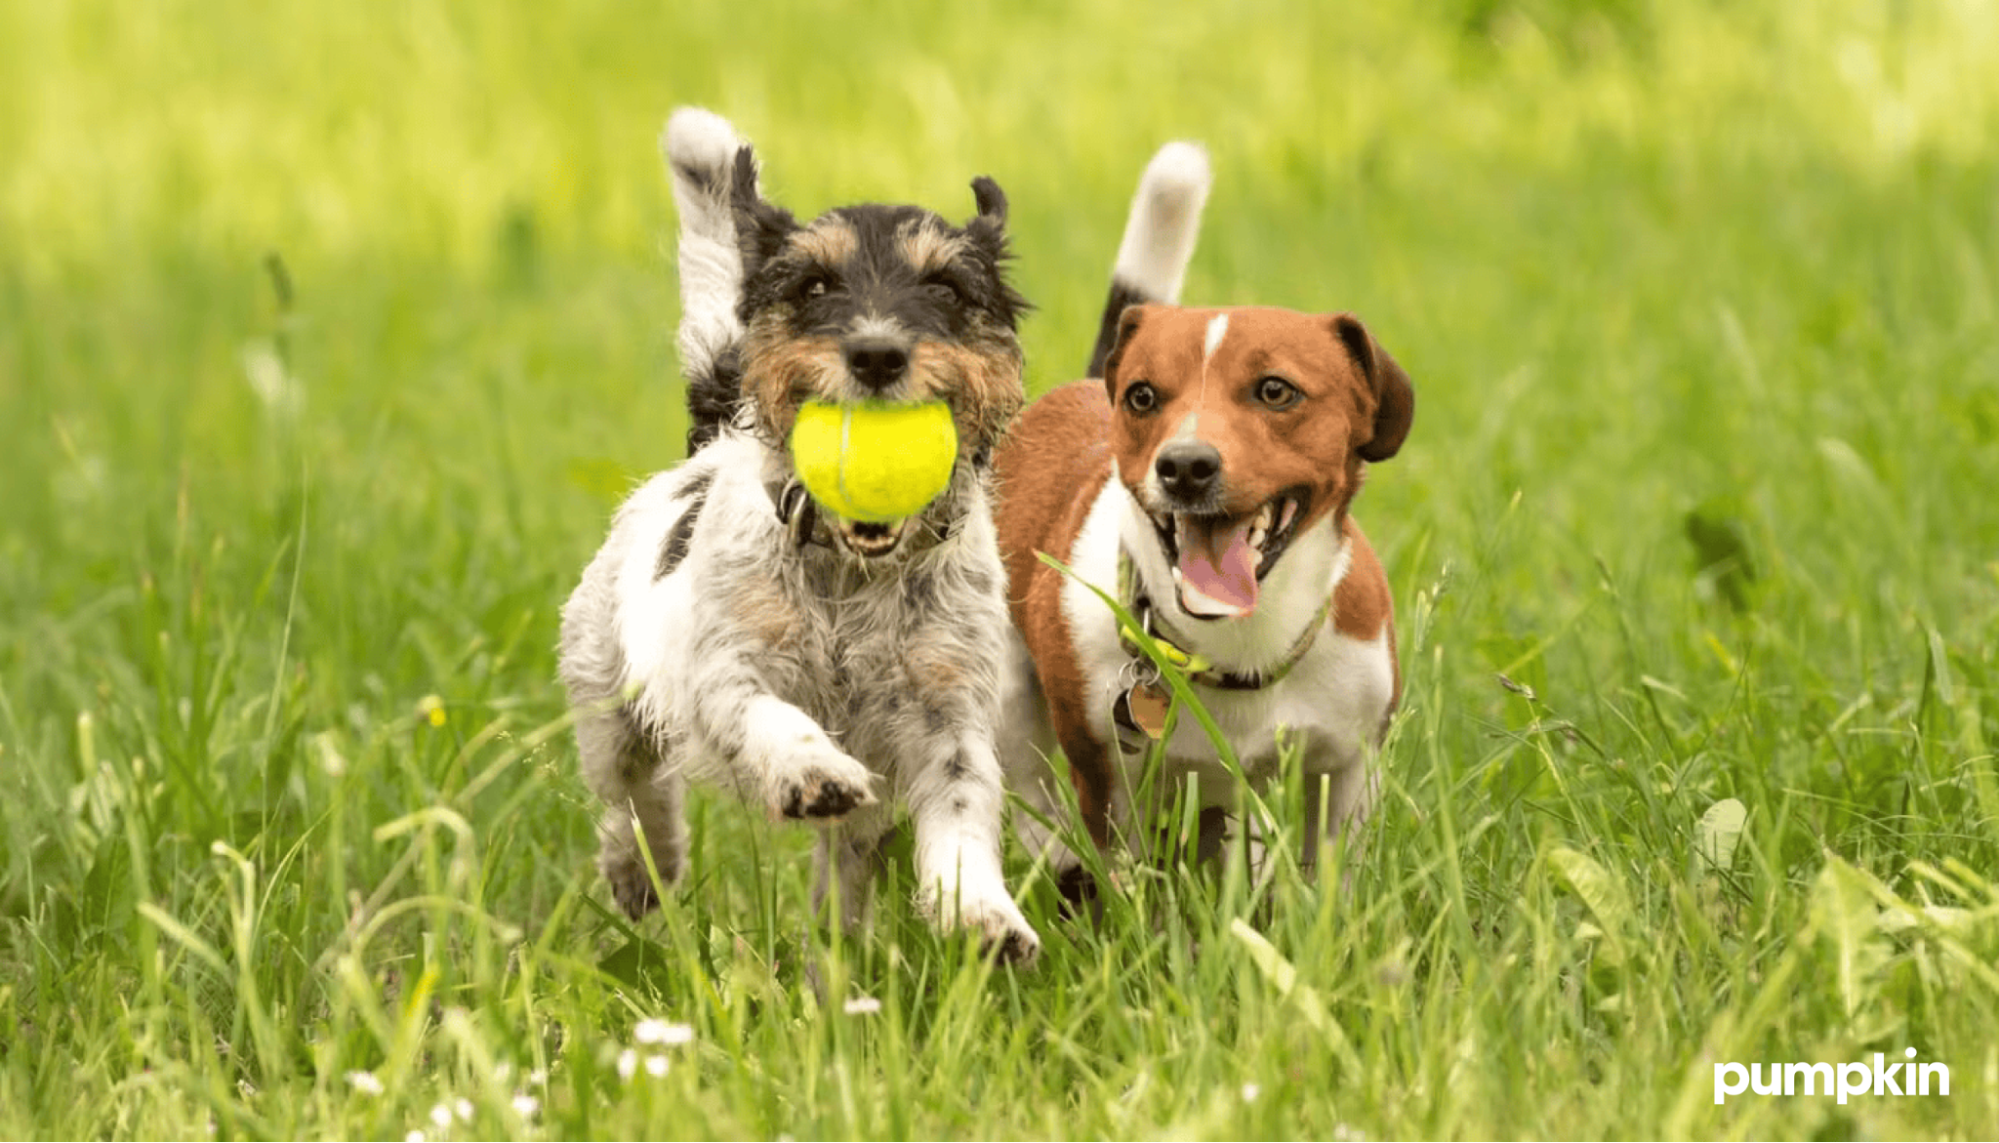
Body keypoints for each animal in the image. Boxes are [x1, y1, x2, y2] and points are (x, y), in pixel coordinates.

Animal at [555, 109, 1039, 963]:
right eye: (813, 284)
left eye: (945, 288)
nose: (876, 353)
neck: (852, 572)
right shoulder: (726, 670)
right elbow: (771, 716)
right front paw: (812, 772)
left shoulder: (948, 710)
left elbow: (961, 805)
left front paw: (982, 911)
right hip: (604, 692)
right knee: (631, 794)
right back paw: (642, 870)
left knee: (844, 868)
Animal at [995, 173, 1407, 887]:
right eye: (1142, 396)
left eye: (1276, 390)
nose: (1185, 465)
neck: (1241, 649)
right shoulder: (1108, 779)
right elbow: (1124, 881)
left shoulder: (1348, 766)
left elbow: (1334, 876)